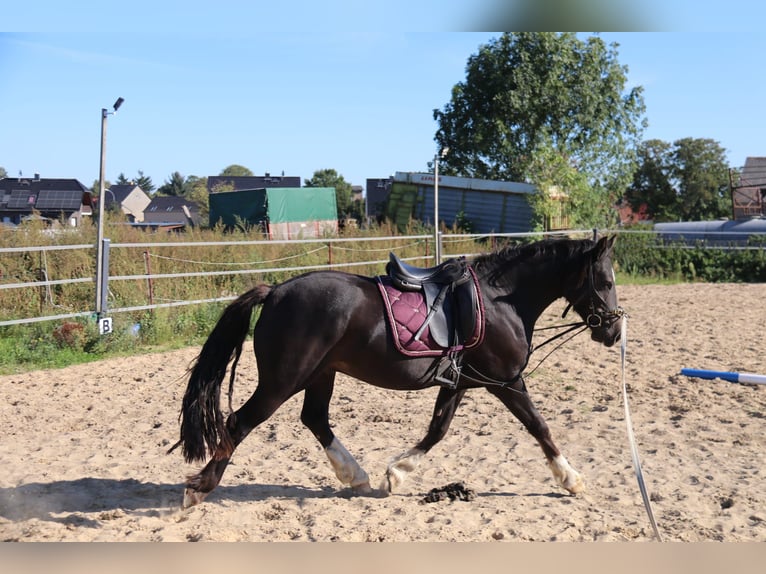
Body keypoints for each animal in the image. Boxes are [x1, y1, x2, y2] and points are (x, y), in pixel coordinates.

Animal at [170, 235, 623, 508]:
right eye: (604, 281)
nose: (614, 331)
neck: (501, 300)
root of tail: (277, 291)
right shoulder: (506, 381)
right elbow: (539, 426)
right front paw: (571, 479)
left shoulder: (463, 382)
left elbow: (437, 430)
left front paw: (395, 475)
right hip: (283, 380)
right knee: (239, 422)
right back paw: (200, 489)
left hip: (320, 374)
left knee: (314, 419)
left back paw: (356, 477)